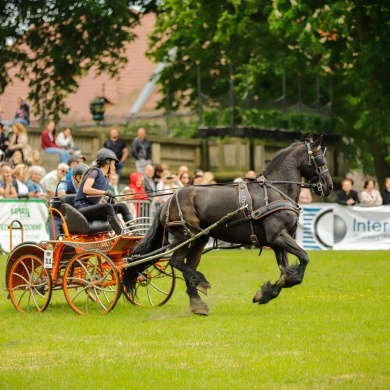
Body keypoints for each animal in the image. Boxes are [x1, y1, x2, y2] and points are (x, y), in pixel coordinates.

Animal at [125, 136, 332, 316]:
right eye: (320, 159)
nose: (329, 186)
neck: (276, 191)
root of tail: (167, 202)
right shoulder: (278, 237)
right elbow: (303, 259)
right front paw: (269, 291)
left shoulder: (277, 242)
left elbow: (286, 272)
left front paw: (266, 293)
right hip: (187, 236)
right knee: (175, 262)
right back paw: (201, 281)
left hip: (200, 239)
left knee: (186, 267)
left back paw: (197, 302)